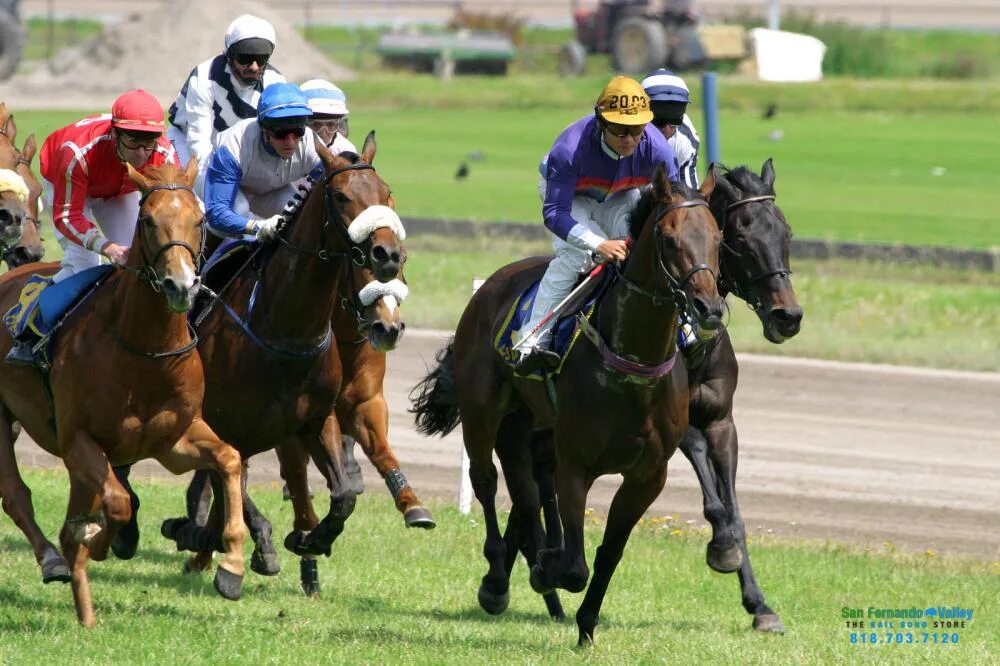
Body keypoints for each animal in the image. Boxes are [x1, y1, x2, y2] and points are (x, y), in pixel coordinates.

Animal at [0, 160, 248, 624]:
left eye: (199, 219)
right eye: (147, 220)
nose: (180, 285)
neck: (145, 351)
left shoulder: (173, 441)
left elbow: (228, 458)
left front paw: (233, 568)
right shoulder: (78, 440)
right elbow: (117, 502)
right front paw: (96, 536)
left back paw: (86, 615)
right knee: (18, 497)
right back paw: (54, 560)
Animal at [410, 167, 724, 644]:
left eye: (718, 236)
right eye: (669, 239)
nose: (709, 308)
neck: (634, 366)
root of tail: (492, 284)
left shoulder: (648, 475)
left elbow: (608, 553)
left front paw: (586, 625)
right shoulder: (577, 463)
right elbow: (575, 566)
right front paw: (547, 569)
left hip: (526, 425)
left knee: (524, 488)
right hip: (483, 410)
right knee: (486, 480)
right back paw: (496, 580)